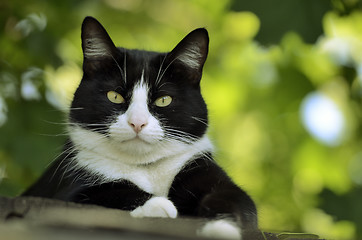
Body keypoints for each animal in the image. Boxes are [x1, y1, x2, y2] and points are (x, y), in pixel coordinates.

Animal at [22, 16, 258, 238]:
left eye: (163, 100)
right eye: (114, 96)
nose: (137, 122)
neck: (146, 167)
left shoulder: (202, 168)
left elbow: (233, 199)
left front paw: (221, 228)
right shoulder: (69, 190)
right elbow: (106, 193)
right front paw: (158, 205)